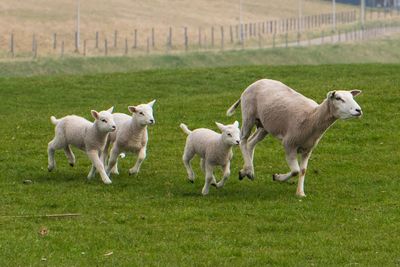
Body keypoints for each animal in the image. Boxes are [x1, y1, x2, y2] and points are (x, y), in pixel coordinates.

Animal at [225, 78, 362, 198]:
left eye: (352, 97)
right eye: (338, 98)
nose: (359, 110)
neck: (312, 118)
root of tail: (256, 82)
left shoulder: (308, 149)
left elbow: (303, 170)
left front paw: (300, 193)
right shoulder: (289, 144)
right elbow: (296, 170)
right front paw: (277, 177)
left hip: (265, 125)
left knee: (251, 143)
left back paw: (247, 171)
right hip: (249, 115)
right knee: (243, 141)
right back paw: (249, 169)